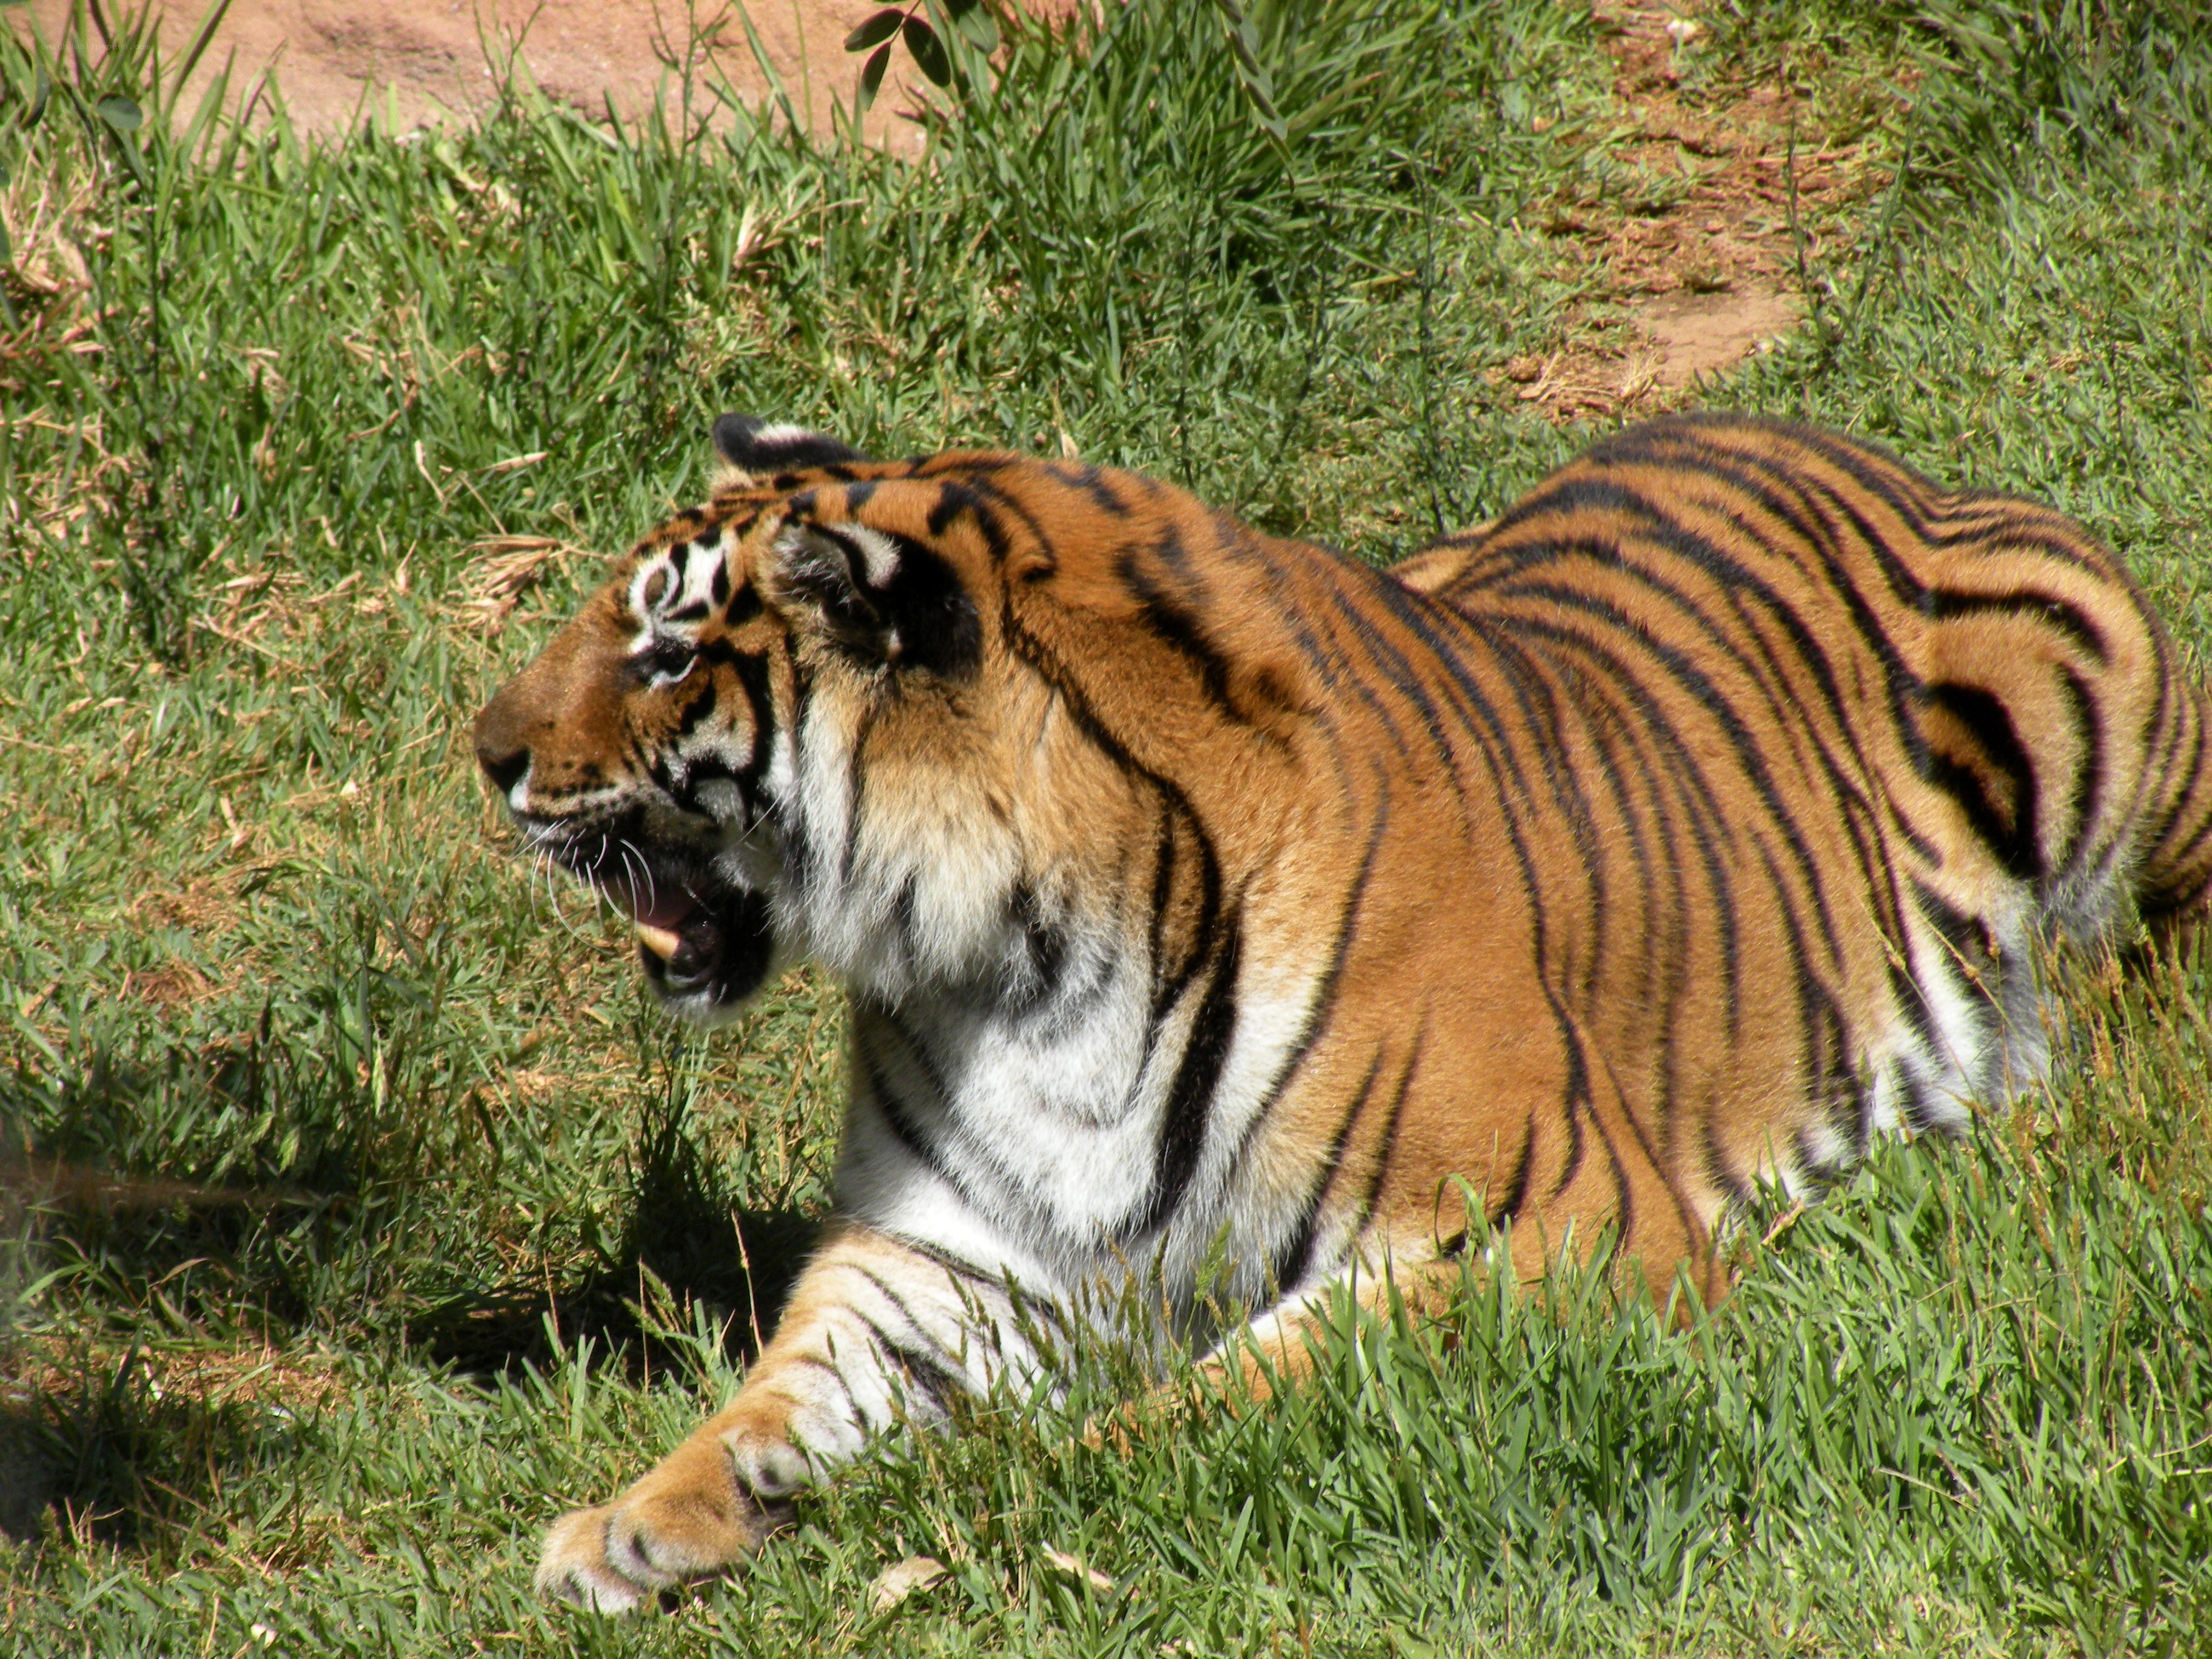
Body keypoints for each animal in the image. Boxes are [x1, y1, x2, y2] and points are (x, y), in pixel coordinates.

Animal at [472, 410, 2212, 1610]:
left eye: (667, 647)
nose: (484, 753)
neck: (1012, 960)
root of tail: (1829, 432)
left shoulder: (1549, 1220)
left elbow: (1227, 1395)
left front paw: (1019, 1498)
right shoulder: (950, 1253)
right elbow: (789, 1388)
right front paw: (637, 1523)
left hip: (2093, 712)